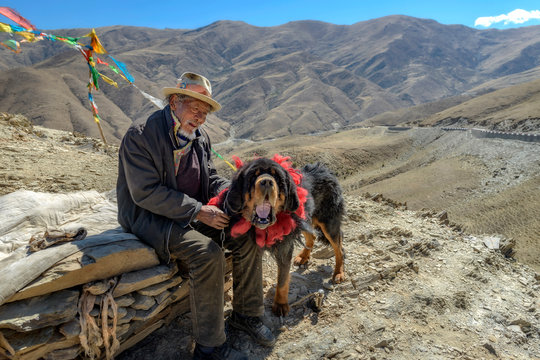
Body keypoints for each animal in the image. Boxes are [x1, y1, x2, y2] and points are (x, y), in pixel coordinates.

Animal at [212, 156, 344, 316]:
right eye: (253, 176)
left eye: (276, 177)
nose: (267, 182)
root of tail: (325, 170)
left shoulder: (284, 247)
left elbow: (282, 279)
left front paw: (280, 304)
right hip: (303, 218)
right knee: (311, 238)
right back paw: (304, 257)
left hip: (327, 223)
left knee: (339, 248)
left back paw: (339, 273)